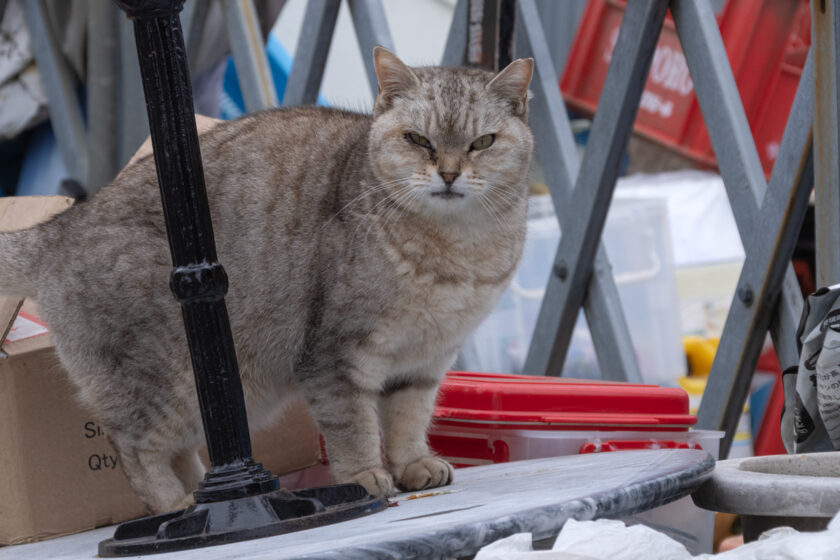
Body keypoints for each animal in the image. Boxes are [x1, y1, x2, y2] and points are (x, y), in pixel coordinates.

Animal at [0, 48, 536, 512]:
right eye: (417, 140)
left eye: (482, 143)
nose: (448, 174)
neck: (456, 249)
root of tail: (60, 229)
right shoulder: (336, 356)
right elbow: (354, 425)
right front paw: (365, 476)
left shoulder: (424, 362)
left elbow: (407, 421)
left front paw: (413, 466)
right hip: (162, 383)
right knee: (134, 448)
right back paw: (175, 505)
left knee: (178, 451)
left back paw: (202, 494)